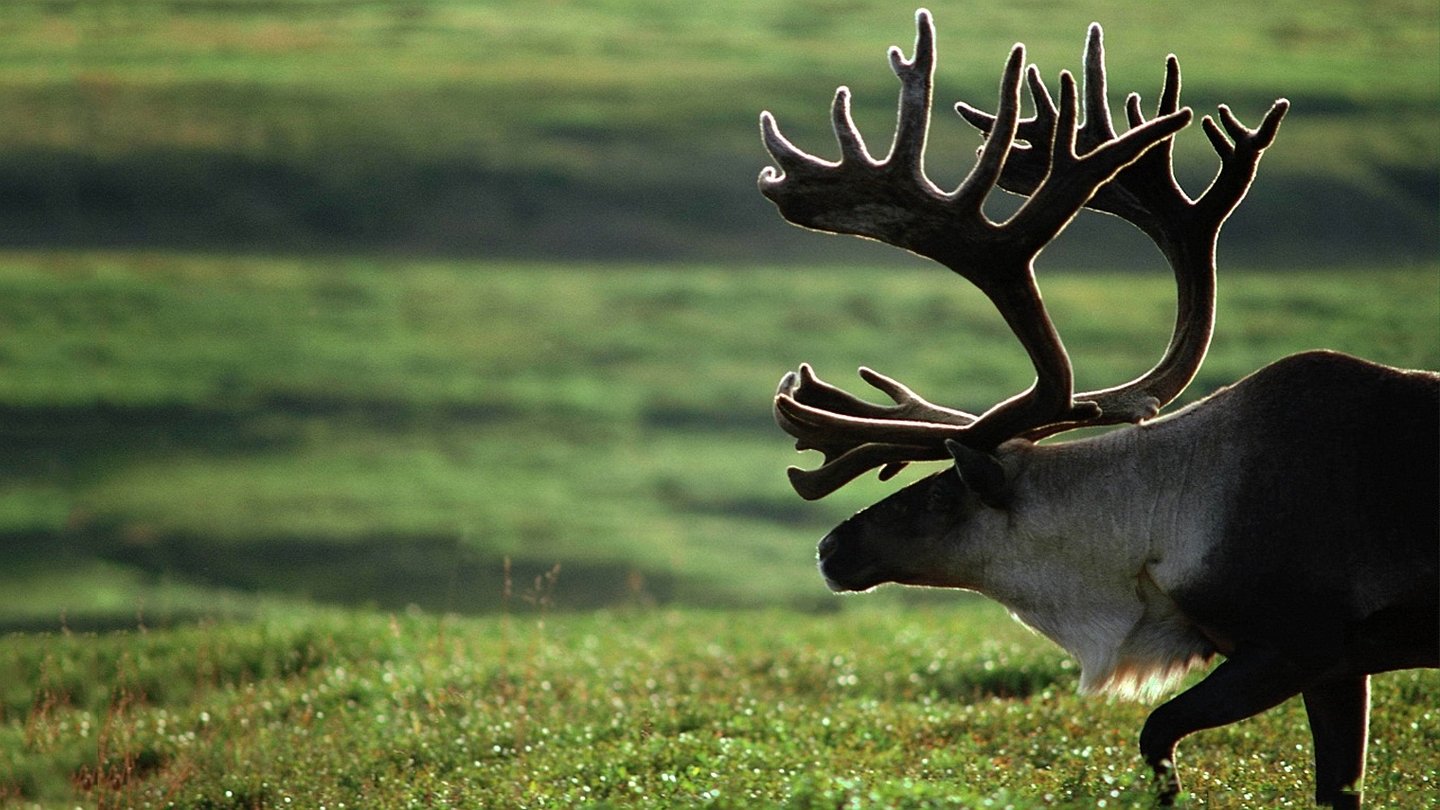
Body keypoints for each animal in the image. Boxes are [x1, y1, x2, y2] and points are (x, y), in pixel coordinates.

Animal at [758, 9, 1439, 808]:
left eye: (939, 494)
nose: (831, 549)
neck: (1166, 522)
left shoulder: (1298, 640)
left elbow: (1156, 733)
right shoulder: (1338, 665)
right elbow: (1337, 784)